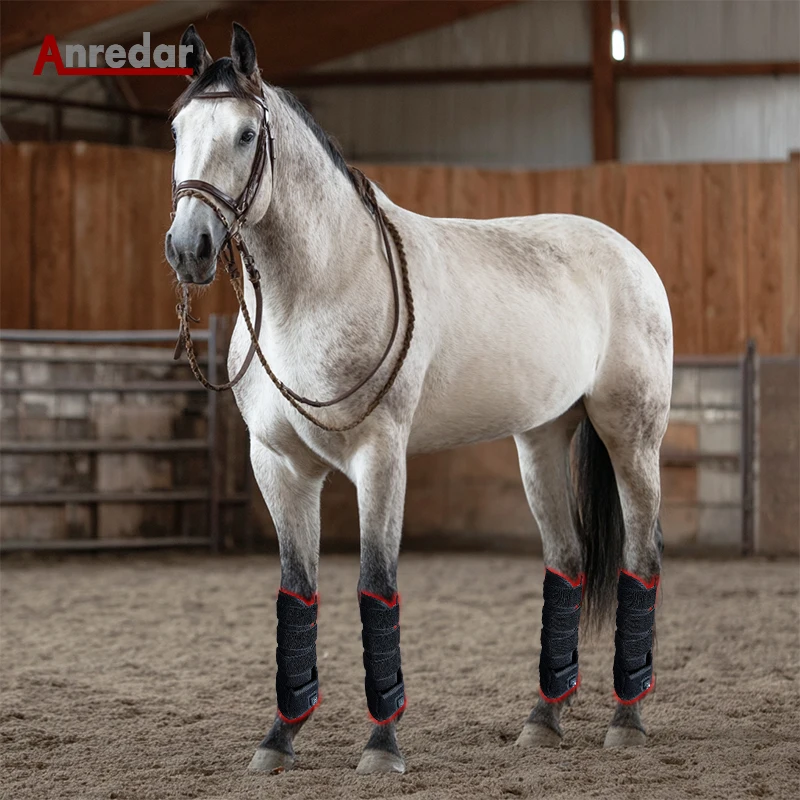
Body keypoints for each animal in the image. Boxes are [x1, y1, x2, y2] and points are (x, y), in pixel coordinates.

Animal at [165, 23, 672, 775]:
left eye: (246, 135)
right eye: (178, 129)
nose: (188, 247)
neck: (319, 289)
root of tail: (630, 257)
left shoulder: (380, 458)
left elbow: (376, 585)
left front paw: (381, 746)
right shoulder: (279, 465)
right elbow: (298, 590)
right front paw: (278, 738)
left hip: (631, 437)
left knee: (641, 562)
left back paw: (628, 721)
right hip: (542, 441)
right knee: (567, 563)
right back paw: (543, 721)